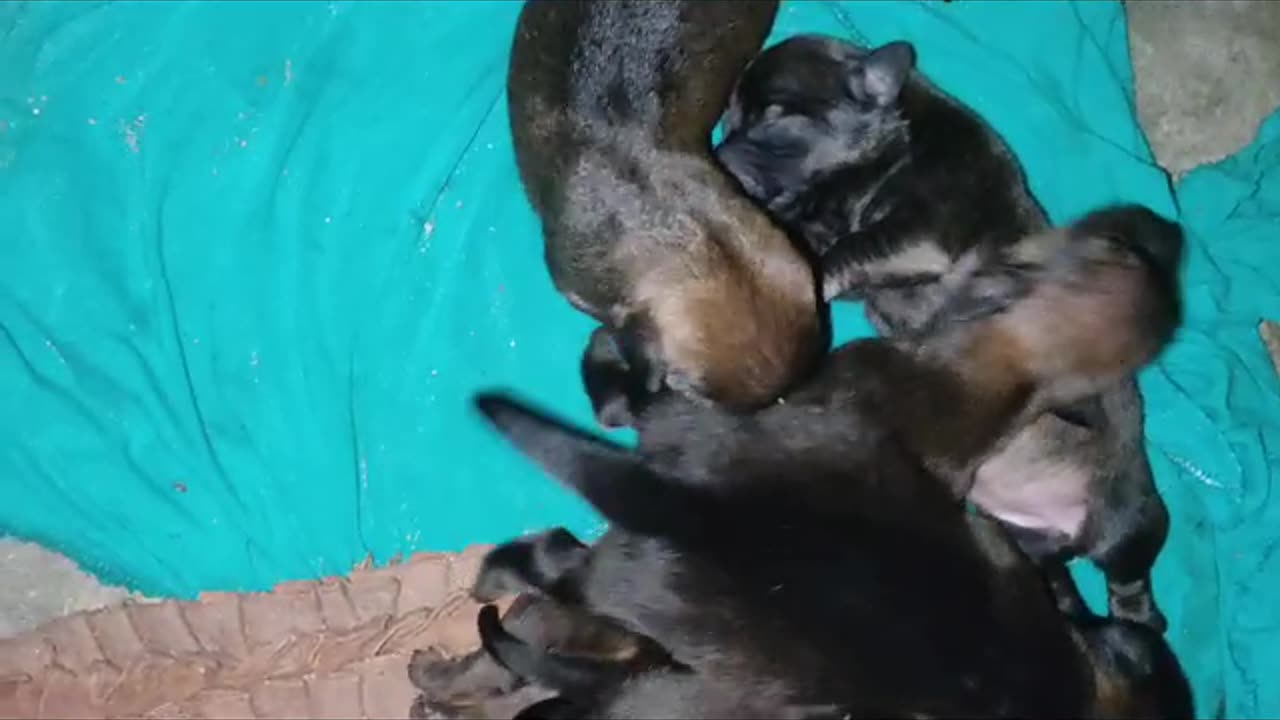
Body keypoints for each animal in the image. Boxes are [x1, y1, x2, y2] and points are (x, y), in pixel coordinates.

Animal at [468, 204, 1187, 712]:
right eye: (1109, 239)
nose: (1167, 230)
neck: (1008, 366)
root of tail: (707, 515)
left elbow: (631, 398)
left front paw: (605, 358)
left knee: (558, 558)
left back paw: (500, 576)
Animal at [711, 33, 1177, 627]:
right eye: (730, 118)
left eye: (775, 118)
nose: (721, 155)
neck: (897, 138)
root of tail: (1067, 532)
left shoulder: (915, 236)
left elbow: (840, 254)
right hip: (1024, 540)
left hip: (1132, 521)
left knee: (1132, 583)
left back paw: (1134, 618)